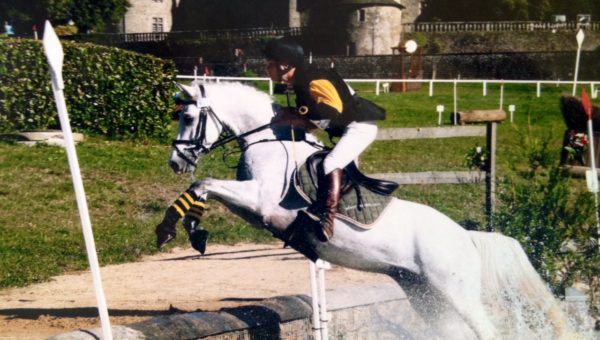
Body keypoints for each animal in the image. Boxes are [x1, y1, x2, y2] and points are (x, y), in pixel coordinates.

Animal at [168, 82, 572, 340]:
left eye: (188, 118)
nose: (176, 162)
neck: (269, 141)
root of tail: (467, 237)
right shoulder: (256, 210)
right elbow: (202, 188)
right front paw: (190, 229)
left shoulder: (261, 202)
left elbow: (203, 183)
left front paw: (179, 228)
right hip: (424, 295)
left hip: (457, 292)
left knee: (487, 330)